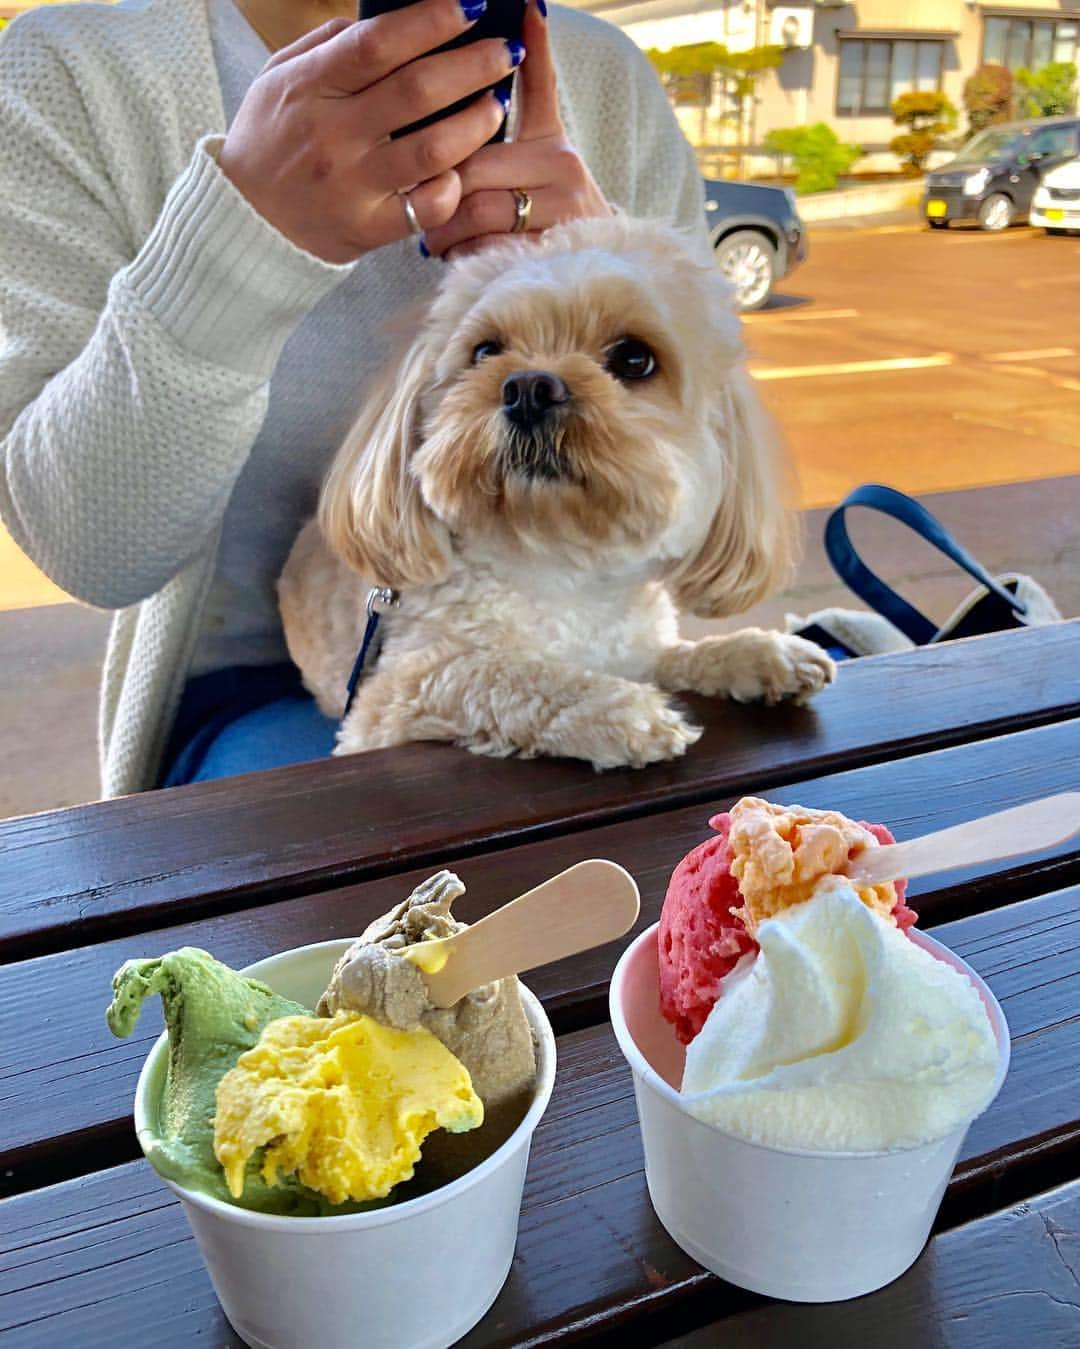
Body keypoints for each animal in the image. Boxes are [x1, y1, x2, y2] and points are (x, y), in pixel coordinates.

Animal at [277, 218, 835, 771]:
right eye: (485, 351)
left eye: (634, 358)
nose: (528, 388)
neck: (561, 566)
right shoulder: (385, 704)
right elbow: (495, 675)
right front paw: (619, 709)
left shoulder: (635, 648)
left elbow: (677, 654)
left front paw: (758, 654)